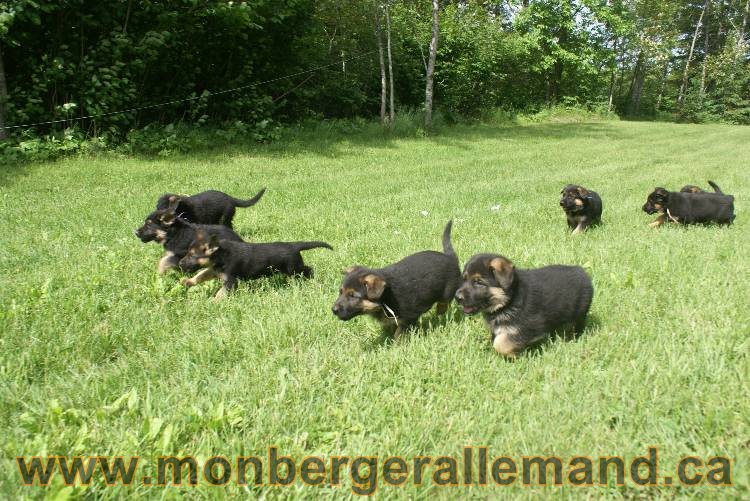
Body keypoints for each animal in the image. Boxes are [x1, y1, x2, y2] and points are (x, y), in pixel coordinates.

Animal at [179, 232, 332, 298]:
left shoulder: (230, 281)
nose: (180, 263)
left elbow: (221, 293)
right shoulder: (213, 270)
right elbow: (200, 275)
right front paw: (187, 281)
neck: (220, 254)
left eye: (192, 255)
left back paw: (313, 279)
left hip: (293, 269)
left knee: (308, 270)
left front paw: (213, 302)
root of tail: (294, 245)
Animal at [332, 221, 462, 338]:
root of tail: (450, 257)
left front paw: (396, 345)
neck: (385, 297)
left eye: (353, 296)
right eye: (340, 292)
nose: (333, 310)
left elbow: (398, 334)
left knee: (443, 303)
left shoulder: (408, 318)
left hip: (448, 291)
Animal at [456, 254, 596, 356]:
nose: (457, 297)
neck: (509, 300)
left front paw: (513, 354)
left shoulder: (530, 325)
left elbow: (500, 343)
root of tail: (583, 274)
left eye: (478, 282)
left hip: (577, 315)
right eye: (464, 279)